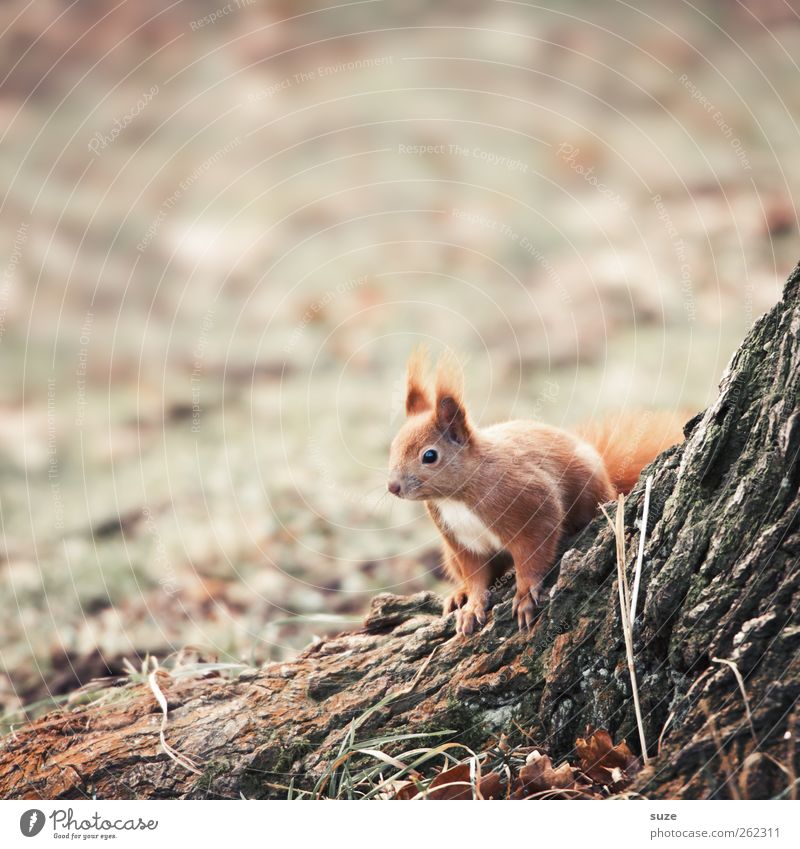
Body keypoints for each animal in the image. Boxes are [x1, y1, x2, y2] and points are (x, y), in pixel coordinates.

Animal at [388, 348, 680, 632]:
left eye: (429, 456)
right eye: (393, 446)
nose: (393, 487)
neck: (455, 498)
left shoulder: (529, 502)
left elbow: (534, 553)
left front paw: (526, 594)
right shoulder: (462, 542)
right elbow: (475, 576)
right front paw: (472, 606)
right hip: (450, 554)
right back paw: (458, 595)